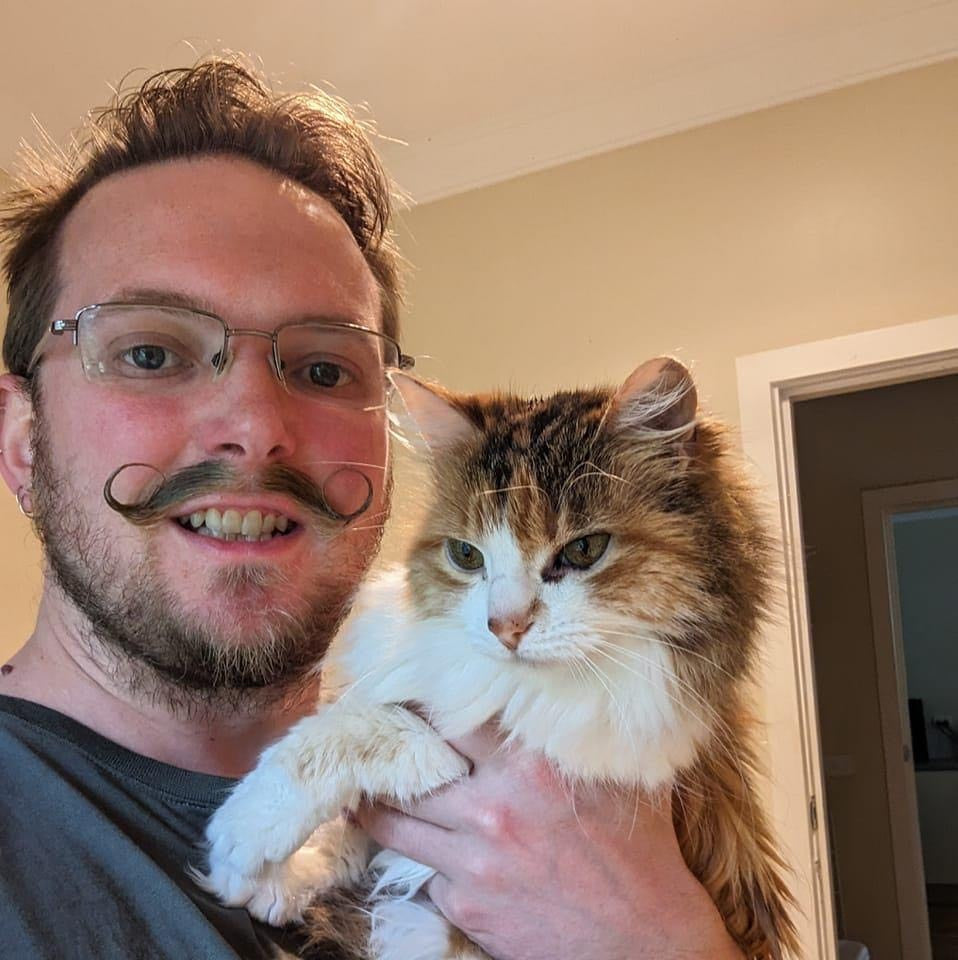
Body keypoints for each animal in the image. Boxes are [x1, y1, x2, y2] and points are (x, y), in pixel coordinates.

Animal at [204, 356, 804, 956]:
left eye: (584, 550)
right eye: (466, 555)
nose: (505, 627)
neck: (510, 684)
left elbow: (360, 731)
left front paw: (243, 834)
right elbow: (352, 829)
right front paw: (277, 879)